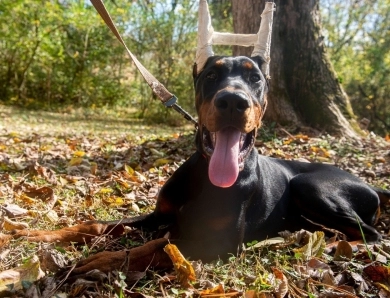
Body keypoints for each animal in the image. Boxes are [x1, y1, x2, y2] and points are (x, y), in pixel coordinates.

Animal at [7, 54, 388, 274]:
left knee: (371, 234)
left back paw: (334, 245)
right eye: (211, 76)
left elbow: (159, 248)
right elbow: (97, 224)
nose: (233, 101)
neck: (205, 176)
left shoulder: (216, 244)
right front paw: (38, 233)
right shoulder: (159, 215)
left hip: (309, 186)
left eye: (255, 78)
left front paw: (103, 260)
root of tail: (372, 184)